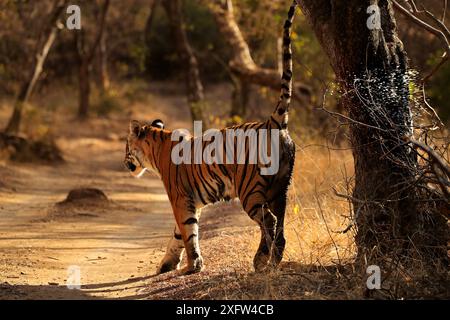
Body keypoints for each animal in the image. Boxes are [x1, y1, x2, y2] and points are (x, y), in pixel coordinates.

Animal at [124, 0, 298, 276]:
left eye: (126, 146)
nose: (124, 162)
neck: (156, 148)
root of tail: (272, 122)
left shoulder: (180, 198)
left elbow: (187, 233)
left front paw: (192, 266)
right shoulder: (189, 201)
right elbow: (178, 234)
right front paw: (167, 264)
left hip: (250, 191)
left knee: (268, 221)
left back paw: (264, 262)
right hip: (280, 188)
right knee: (279, 223)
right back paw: (268, 262)